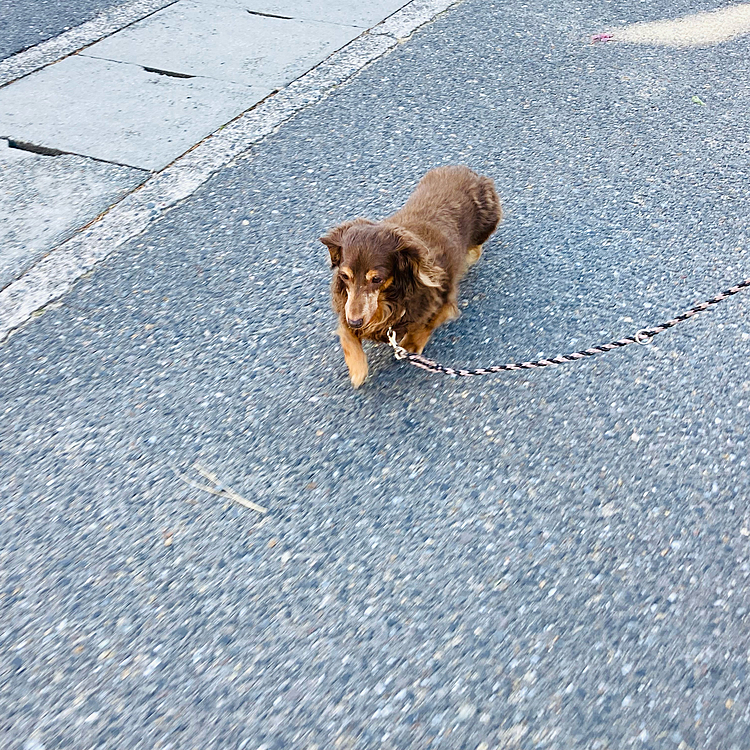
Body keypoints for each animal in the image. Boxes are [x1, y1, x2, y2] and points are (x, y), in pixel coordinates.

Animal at [320, 164, 502, 388]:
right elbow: (348, 336)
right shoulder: (347, 308)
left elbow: (425, 325)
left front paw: (410, 345)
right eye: (345, 276)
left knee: (476, 249)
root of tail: (468, 171)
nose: (355, 322)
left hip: (486, 225)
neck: (388, 300)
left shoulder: (442, 302)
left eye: (377, 279)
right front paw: (358, 369)